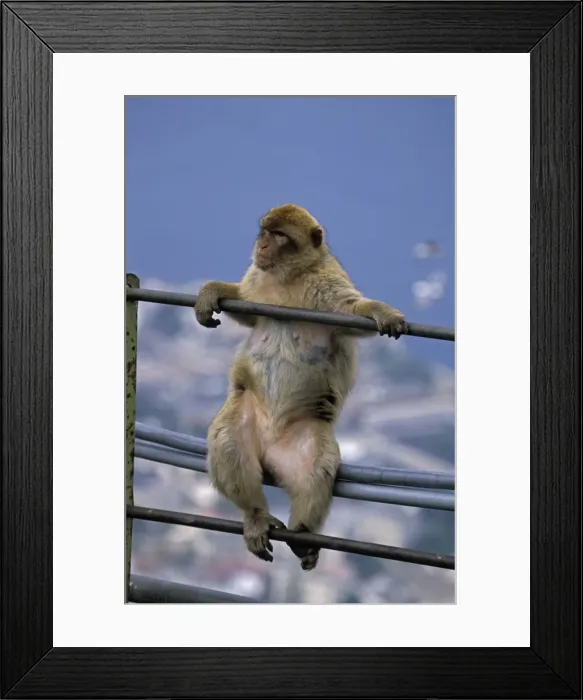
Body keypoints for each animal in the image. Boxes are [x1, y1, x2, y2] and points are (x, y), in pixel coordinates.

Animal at [195, 204, 407, 571]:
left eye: (280, 235)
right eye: (265, 231)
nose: (263, 245)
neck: (287, 277)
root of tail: (268, 448)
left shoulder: (327, 282)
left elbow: (353, 311)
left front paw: (382, 312)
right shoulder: (257, 277)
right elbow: (245, 304)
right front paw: (211, 291)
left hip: (305, 437)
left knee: (316, 470)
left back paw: (303, 534)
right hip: (244, 414)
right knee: (228, 443)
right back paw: (256, 515)